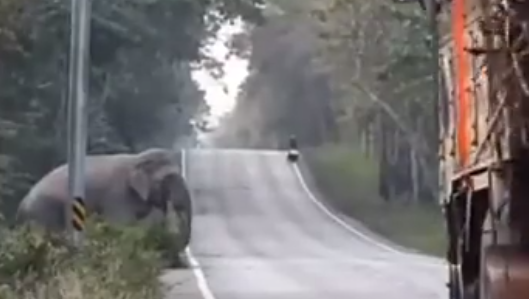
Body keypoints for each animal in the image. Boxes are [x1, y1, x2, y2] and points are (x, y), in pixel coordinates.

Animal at [16, 149, 194, 250]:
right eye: (168, 178)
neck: (136, 159)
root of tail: (21, 206)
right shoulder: (118, 194)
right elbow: (121, 224)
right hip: (43, 210)